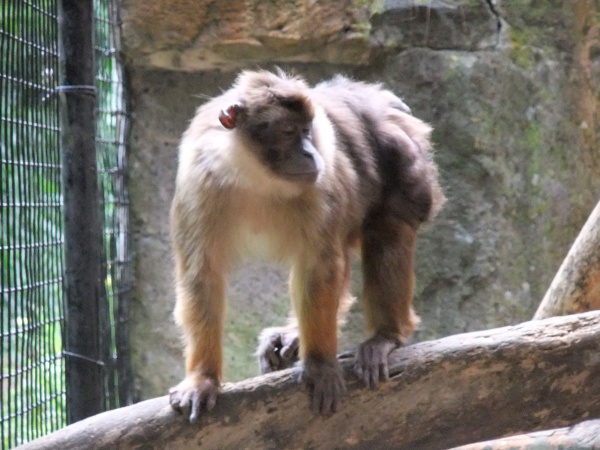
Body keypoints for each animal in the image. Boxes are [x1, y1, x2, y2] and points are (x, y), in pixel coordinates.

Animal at [169, 69, 446, 422]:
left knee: (388, 226)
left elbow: (319, 266)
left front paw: (319, 364)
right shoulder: (199, 184)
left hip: (407, 162)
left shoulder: (319, 185)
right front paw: (202, 379)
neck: (255, 177)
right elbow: (201, 273)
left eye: (306, 131)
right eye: (288, 132)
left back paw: (386, 337)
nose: (309, 153)